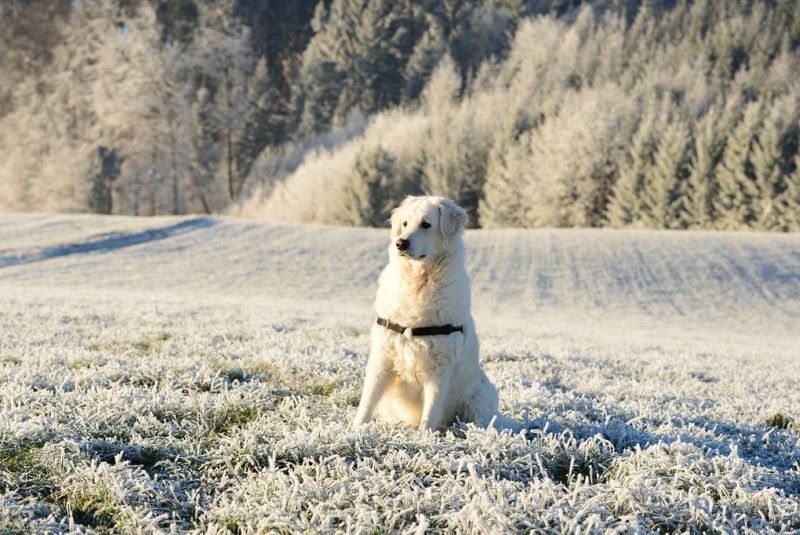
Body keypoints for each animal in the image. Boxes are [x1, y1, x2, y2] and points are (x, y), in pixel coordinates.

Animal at [352, 196, 516, 432]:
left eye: (426, 224)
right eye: (404, 223)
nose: (400, 243)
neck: (419, 283)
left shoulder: (440, 369)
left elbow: (429, 414)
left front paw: (425, 437)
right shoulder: (382, 359)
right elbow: (366, 403)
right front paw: (355, 432)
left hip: (480, 396)